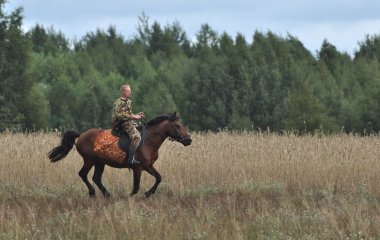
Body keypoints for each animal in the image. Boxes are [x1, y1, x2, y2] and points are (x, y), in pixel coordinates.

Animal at [47, 113, 191, 198]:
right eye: (177, 126)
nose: (189, 140)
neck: (148, 141)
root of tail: (81, 135)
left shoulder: (148, 166)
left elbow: (159, 178)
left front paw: (148, 193)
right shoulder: (138, 168)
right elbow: (136, 187)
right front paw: (129, 197)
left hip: (100, 163)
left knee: (96, 178)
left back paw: (107, 194)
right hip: (89, 160)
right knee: (83, 174)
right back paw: (93, 193)